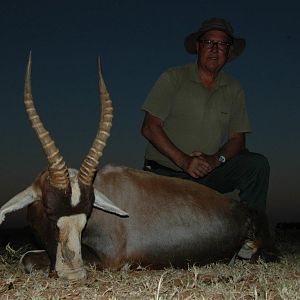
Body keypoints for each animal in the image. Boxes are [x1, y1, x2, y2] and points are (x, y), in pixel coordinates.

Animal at [0, 54, 278, 282]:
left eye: (88, 212)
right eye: (48, 209)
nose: (74, 273)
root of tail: (246, 209)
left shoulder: (107, 260)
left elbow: (28, 259)